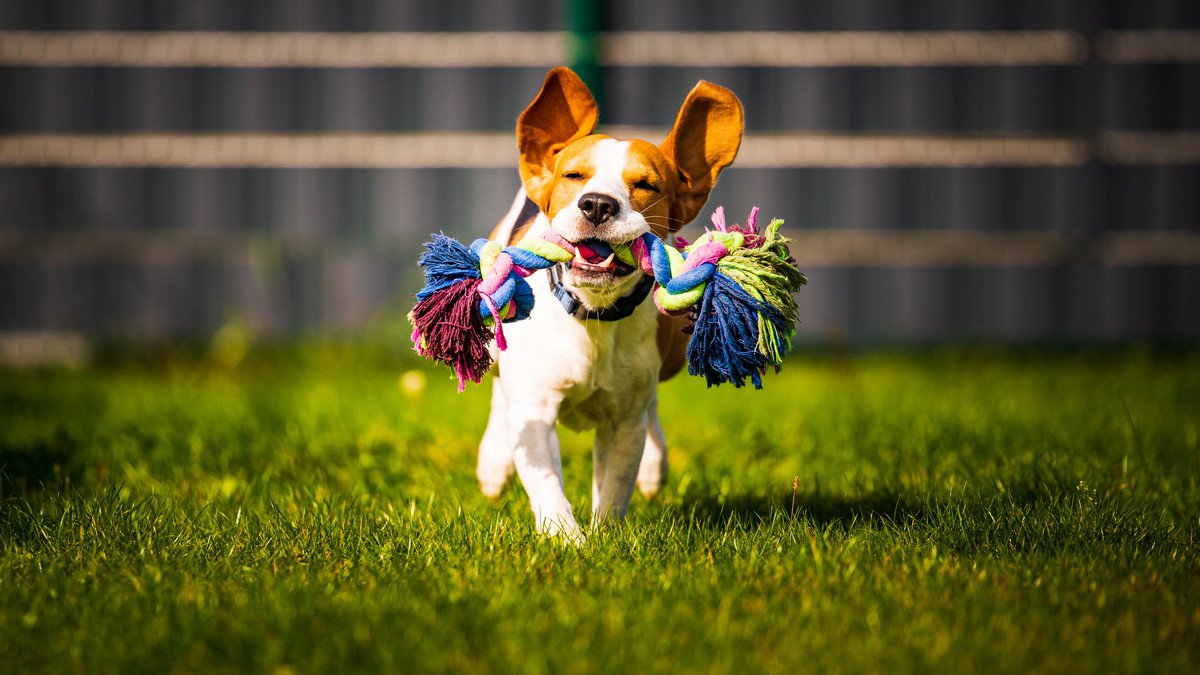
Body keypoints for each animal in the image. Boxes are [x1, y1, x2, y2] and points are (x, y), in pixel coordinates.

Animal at [475, 66, 739, 540]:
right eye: (574, 176)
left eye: (646, 185)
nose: (598, 204)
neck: (592, 312)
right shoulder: (535, 408)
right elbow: (546, 482)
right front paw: (566, 539)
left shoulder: (624, 421)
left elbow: (616, 485)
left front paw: (604, 537)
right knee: (499, 393)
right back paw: (493, 461)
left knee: (652, 409)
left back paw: (654, 465)